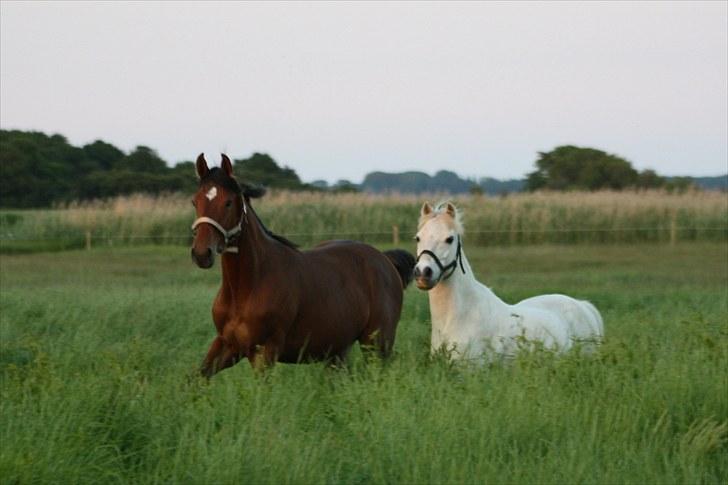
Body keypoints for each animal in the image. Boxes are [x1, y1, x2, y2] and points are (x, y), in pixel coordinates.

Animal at [189, 153, 416, 376]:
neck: (247, 287)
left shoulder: (265, 352)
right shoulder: (227, 345)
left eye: (228, 202)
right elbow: (197, 378)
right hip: (337, 350)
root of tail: (385, 259)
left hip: (376, 343)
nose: (201, 253)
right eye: (195, 201)